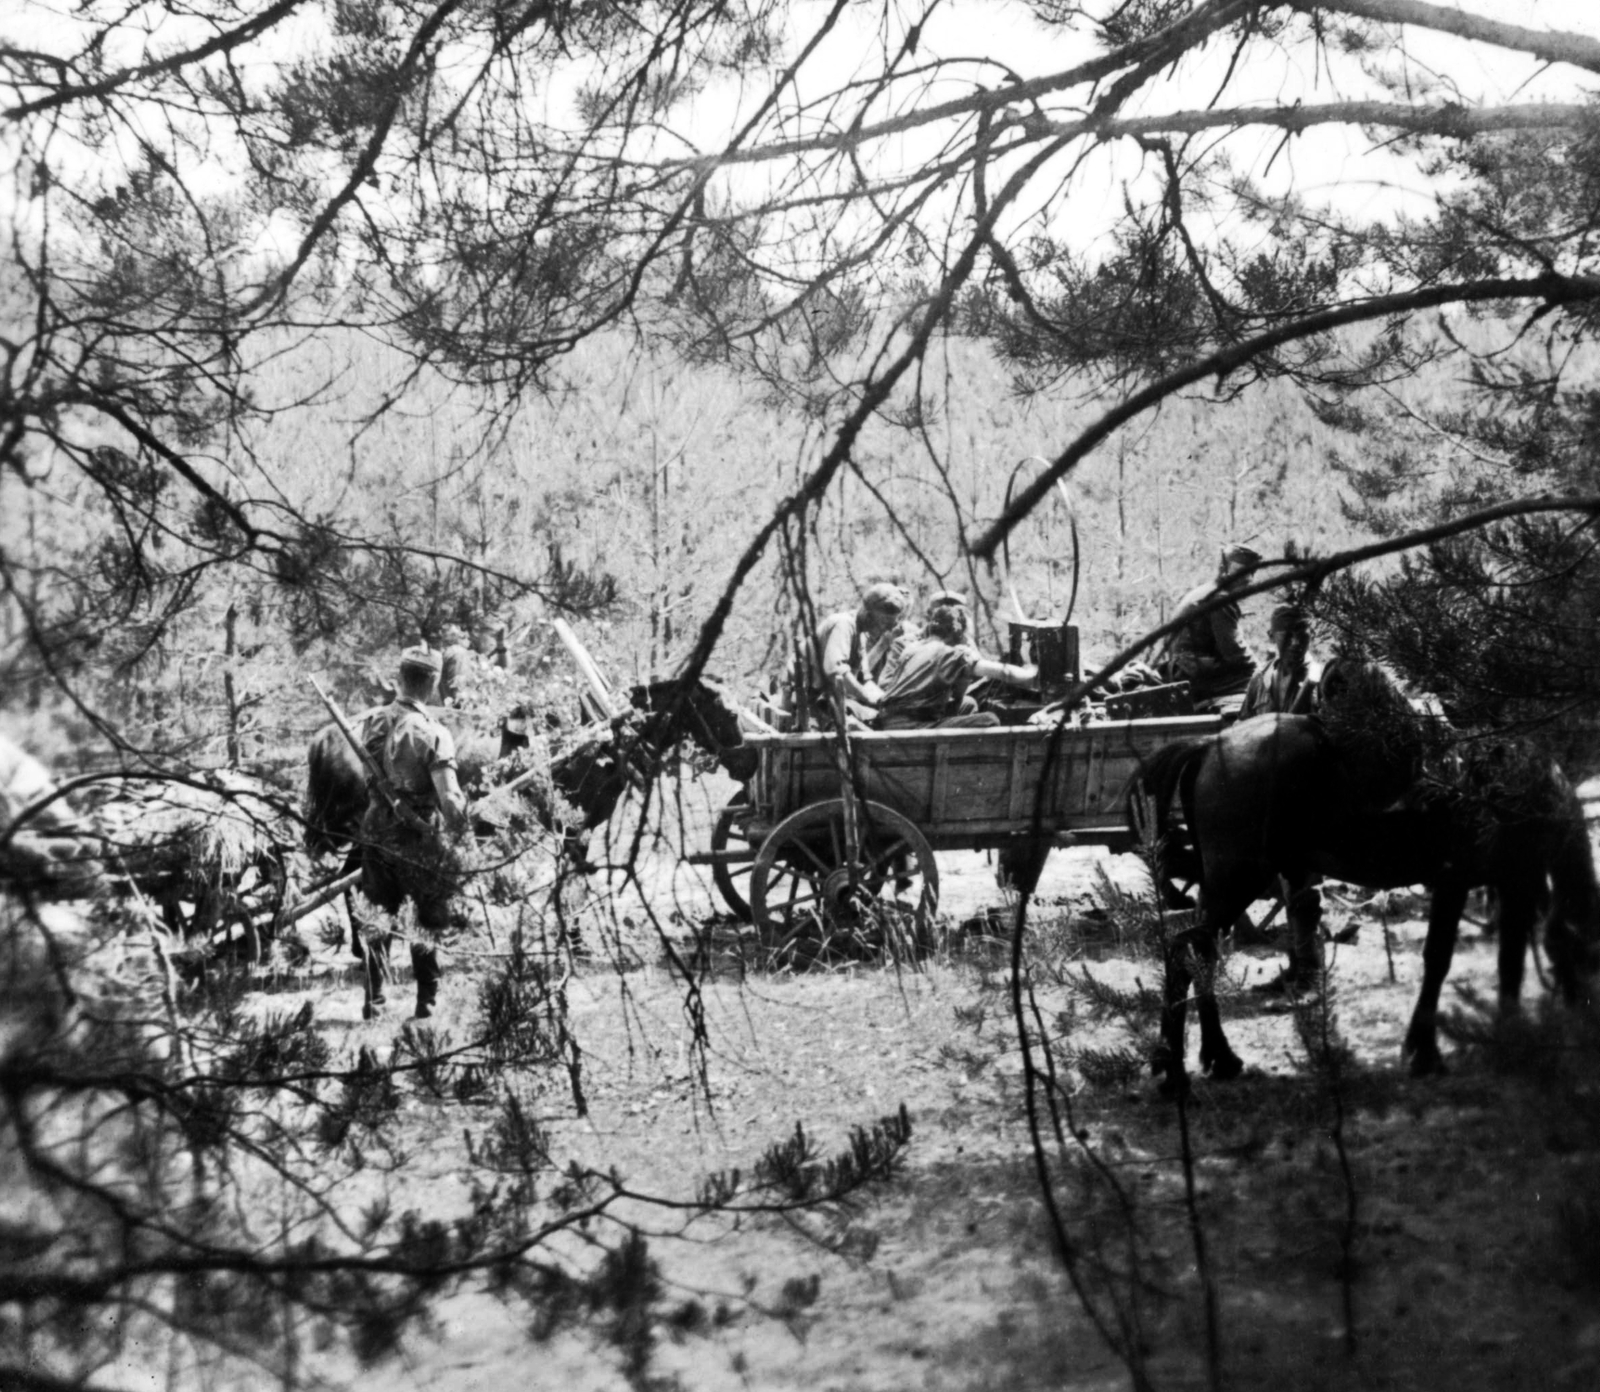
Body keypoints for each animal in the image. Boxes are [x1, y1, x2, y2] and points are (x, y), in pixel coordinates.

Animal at [1139, 713, 1600, 1094]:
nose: (1582, 1037)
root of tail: (1210, 744)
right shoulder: (1462, 883)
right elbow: (1441, 959)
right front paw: (1427, 1051)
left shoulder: (1512, 884)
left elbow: (1510, 964)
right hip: (1236, 883)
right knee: (1186, 952)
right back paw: (1177, 1071)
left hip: (1221, 889)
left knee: (1197, 954)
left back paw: (1213, 1058)